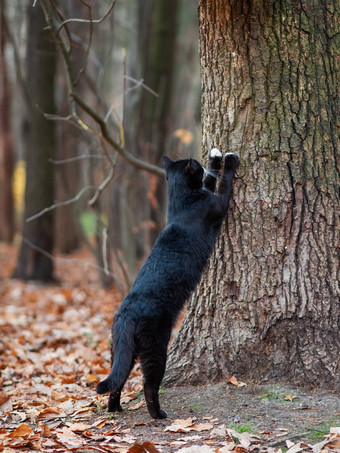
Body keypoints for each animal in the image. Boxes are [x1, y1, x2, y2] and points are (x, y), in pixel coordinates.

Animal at [95, 150, 239, 418]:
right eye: (197, 166)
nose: (202, 162)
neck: (180, 204)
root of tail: (127, 313)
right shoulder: (216, 204)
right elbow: (224, 183)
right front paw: (229, 160)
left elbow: (211, 182)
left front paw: (215, 158)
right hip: (156, 346)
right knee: (149, 384)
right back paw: (158, 414)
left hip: (122, 350)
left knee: (117, 380)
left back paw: (115, 409)